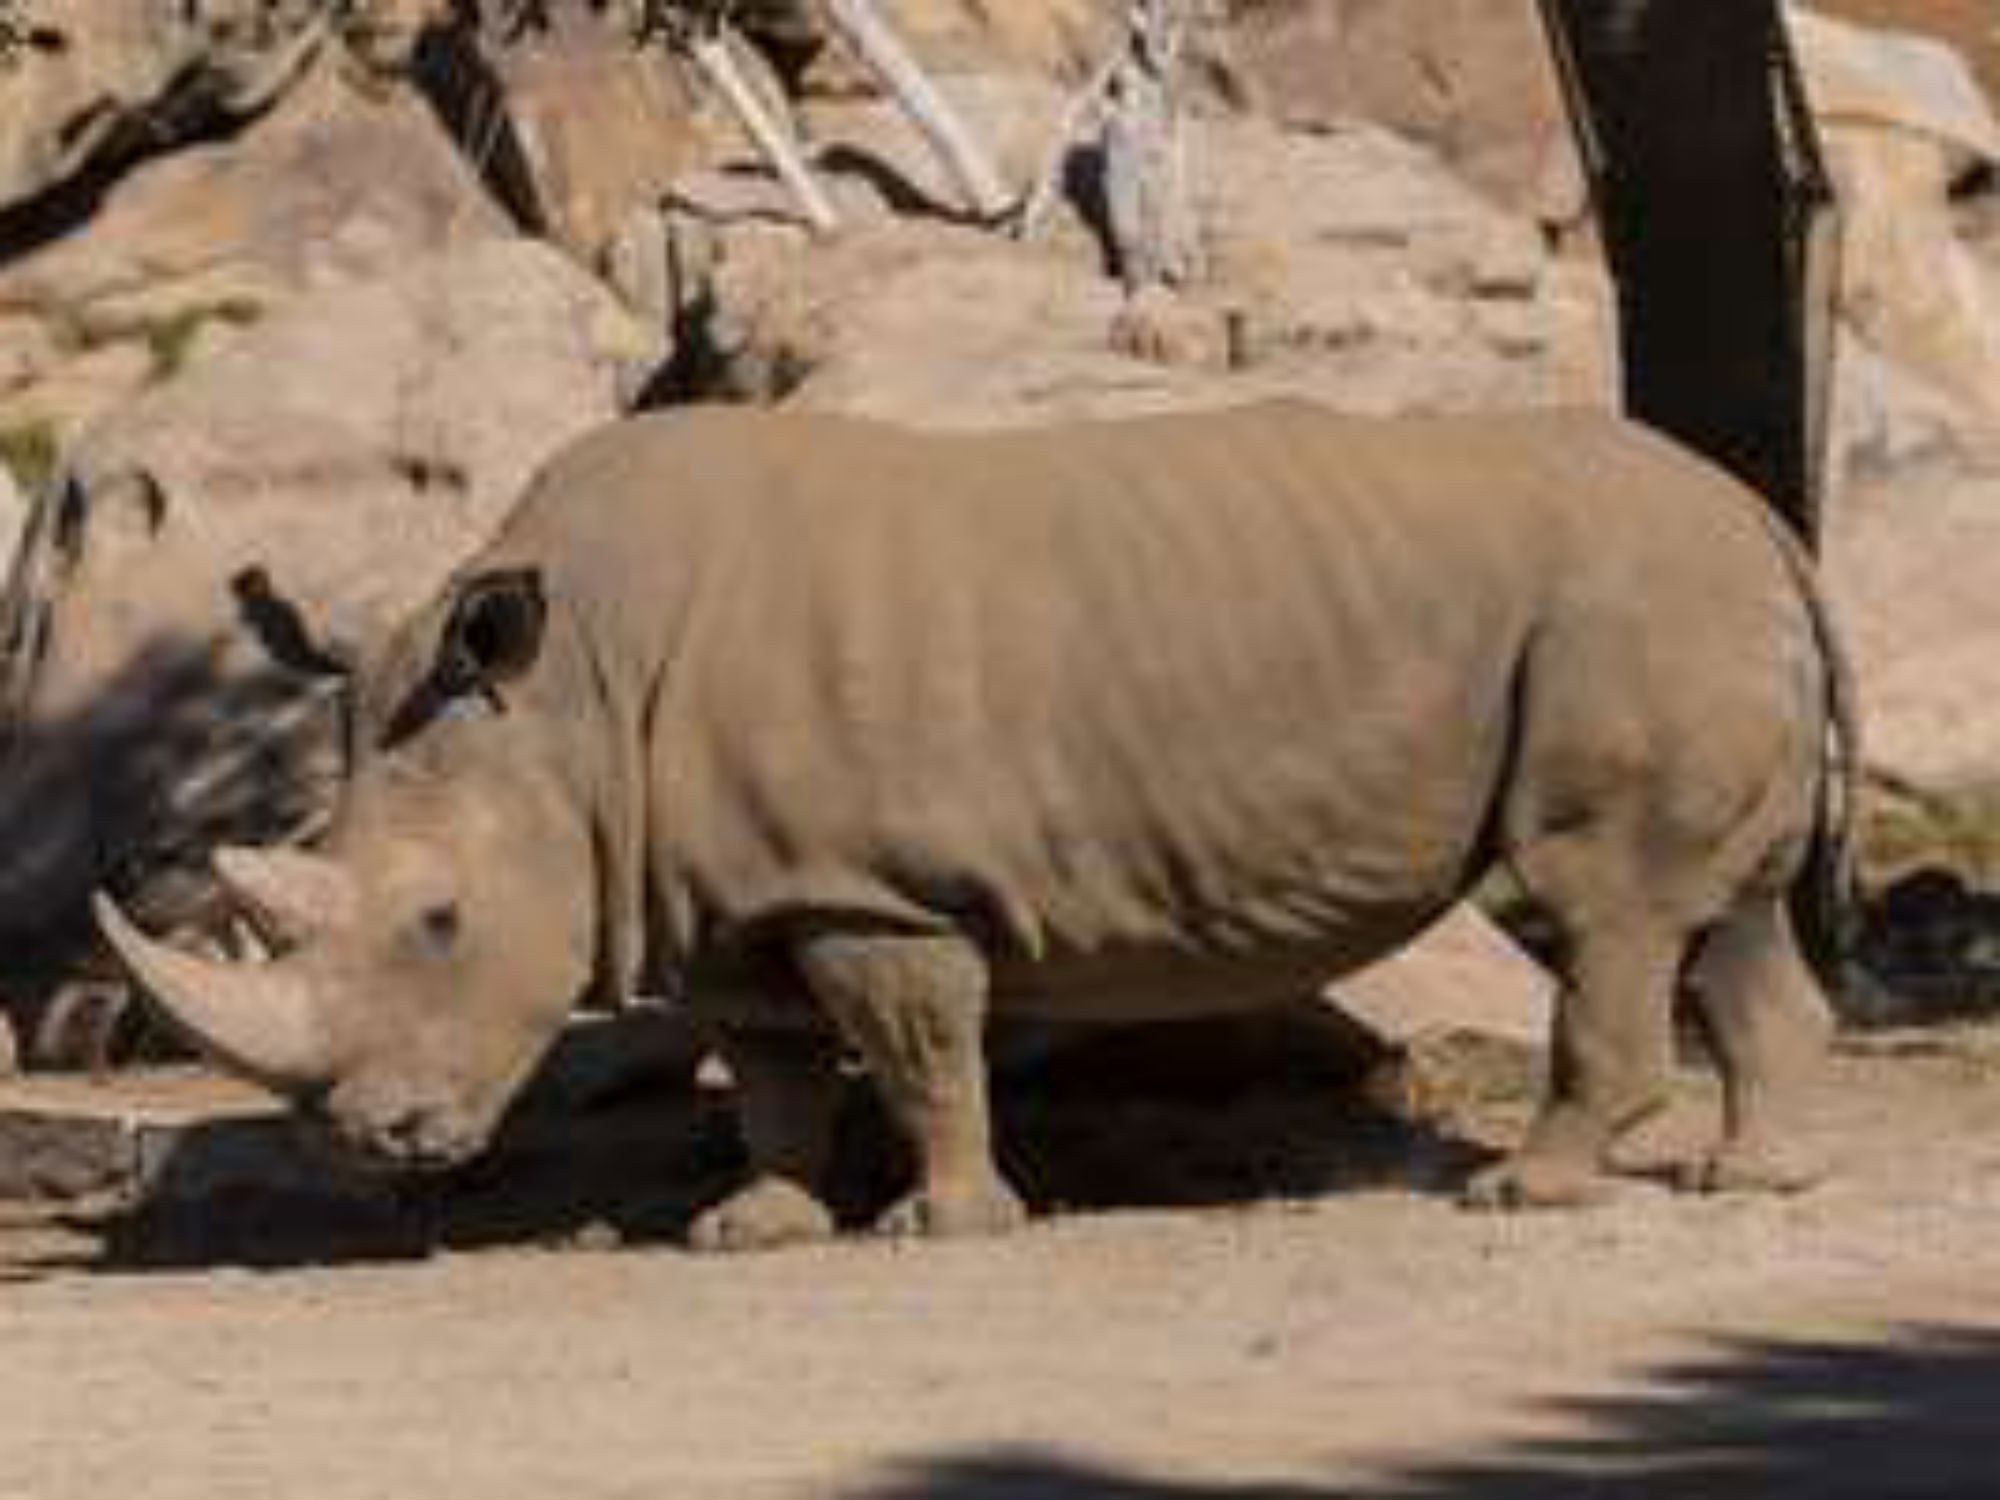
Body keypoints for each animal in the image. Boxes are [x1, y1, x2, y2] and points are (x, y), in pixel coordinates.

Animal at [98, 401, 1857, 1248]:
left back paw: (1528, 1197)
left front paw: (936, 1226)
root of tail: (1763, 514)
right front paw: (752, 1230)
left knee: (1602, 907)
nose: (374, 1143)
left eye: (441, 922)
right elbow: (773, 1069)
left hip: (1631, 606)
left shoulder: (867, 885)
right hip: (1676, 604)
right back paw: (1754, 1182)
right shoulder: (729, 892)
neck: (572, 703)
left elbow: (914, 1046)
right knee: (1727, 918)